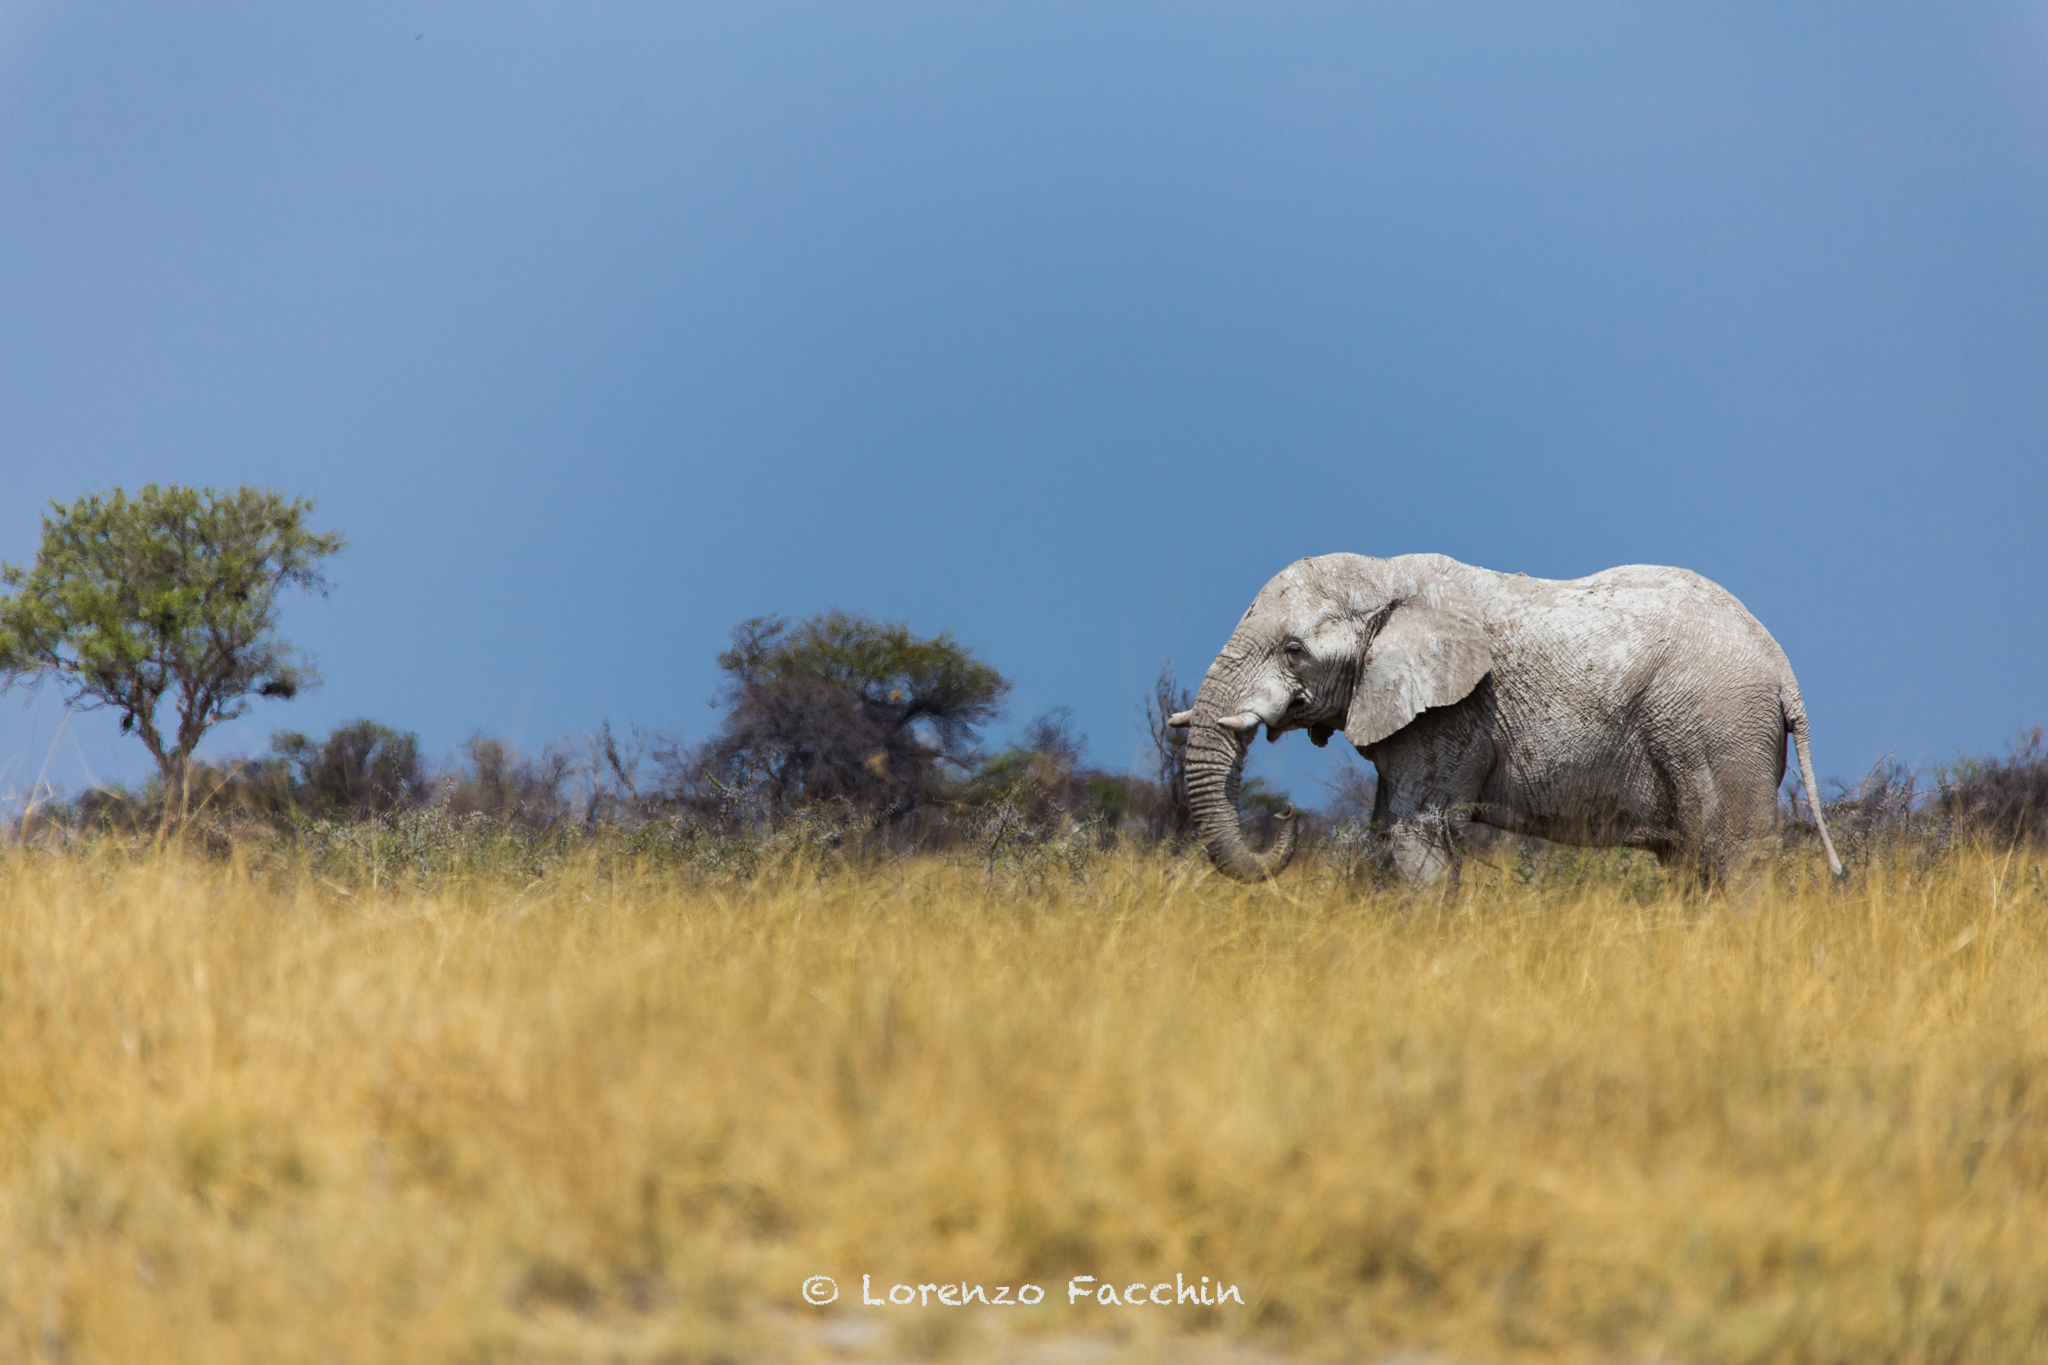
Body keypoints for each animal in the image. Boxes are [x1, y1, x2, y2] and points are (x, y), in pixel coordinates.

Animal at [1168, 553, 1846, 887]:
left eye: (1293, 650)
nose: (1285, 813)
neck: (1386, 573)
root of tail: (1782, 670)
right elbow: (1387, 836)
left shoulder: (1454, 714)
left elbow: (1417, 838)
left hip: (1720, 726)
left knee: (1732, 858)